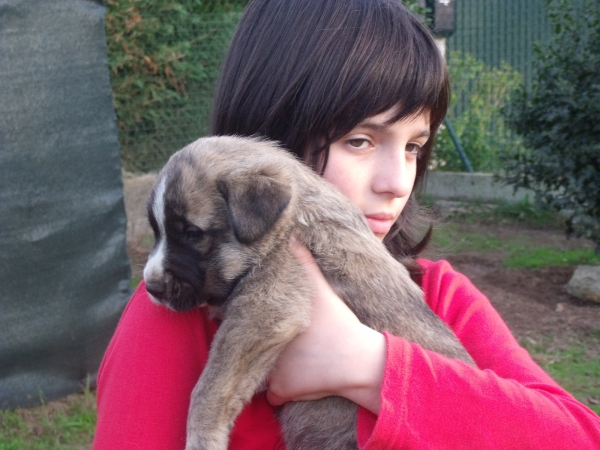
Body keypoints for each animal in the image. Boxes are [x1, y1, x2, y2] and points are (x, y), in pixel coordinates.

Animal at [142, 136, 474, 450]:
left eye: (192, 234)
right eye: (157, 232)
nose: (151, 286)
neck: (288, 220)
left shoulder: (266, 308)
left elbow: (211, 387)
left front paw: (202, 437)